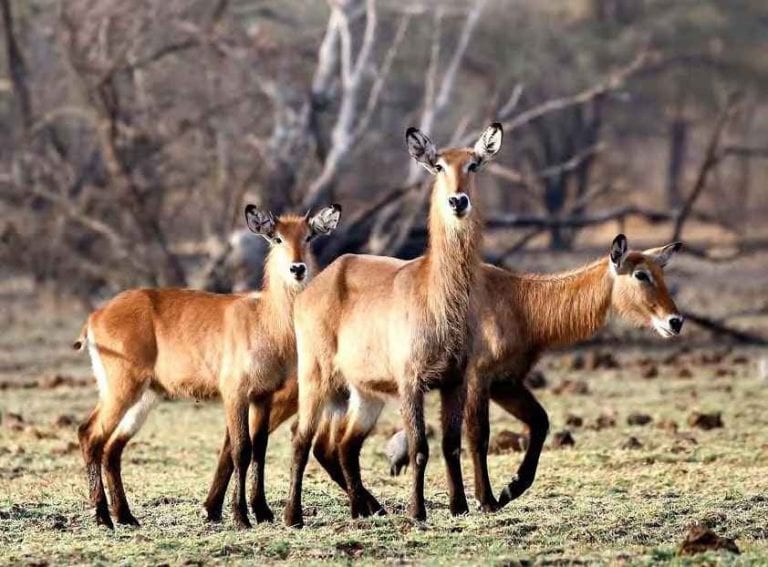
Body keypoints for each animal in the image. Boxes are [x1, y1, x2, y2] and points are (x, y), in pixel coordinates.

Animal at [73, 203, 342, 528]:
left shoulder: (263, 395)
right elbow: (241, 449)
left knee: (112, 447)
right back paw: (102, 517)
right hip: (122, 389)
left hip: (144, 397)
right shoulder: (235, 394)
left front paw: (263, 512)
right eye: (277, 238)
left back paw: (126, 516)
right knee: (89, 434)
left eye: (308, 237)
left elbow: (260, 448)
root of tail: (95, 316)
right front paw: (241, 517)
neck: (265, 319)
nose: (297, 268)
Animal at [206, 233, 684, 516]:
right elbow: (477, 436)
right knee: (272, 434)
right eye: (641, 273)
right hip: (314, 381)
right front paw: (488, 499)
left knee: (334, 445)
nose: (675, 321)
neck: (518, 300)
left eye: (662, 271)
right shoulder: (477, 377)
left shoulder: (506, 381)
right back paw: (255, 511)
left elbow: (539, 423)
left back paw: (366, 506)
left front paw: (509, 489)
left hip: (362, 392)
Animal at [282, 124, 504, 528]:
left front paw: (459, 506)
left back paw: (362, 509)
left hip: (363, 392)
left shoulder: (455, 379)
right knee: (300, 437)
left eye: (474, 164)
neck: (437, 294)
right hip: (316, 376)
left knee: (344, 445)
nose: (458, 201)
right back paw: (293, 516)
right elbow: (419, 447)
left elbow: (451, 445)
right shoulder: (410, 380)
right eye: (438, 165)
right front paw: (418, 511)